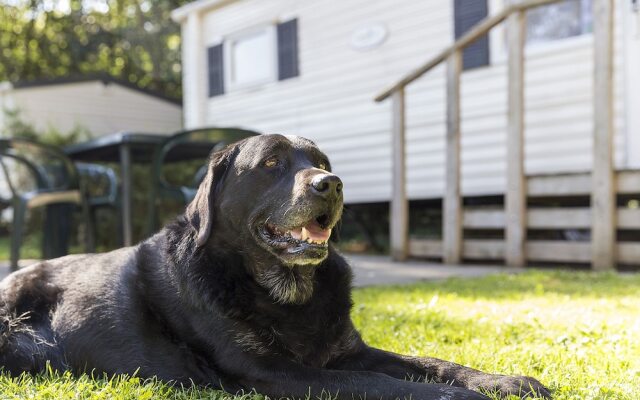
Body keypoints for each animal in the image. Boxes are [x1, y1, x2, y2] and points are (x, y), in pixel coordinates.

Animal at [0, 135, 552, 400]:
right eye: (270, 164)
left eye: (322, 161)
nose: (331, 183)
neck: (283, 293)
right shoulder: (273, 372)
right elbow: (389, 387)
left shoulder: (350, 351)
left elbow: (433, 364)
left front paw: (505, 382)